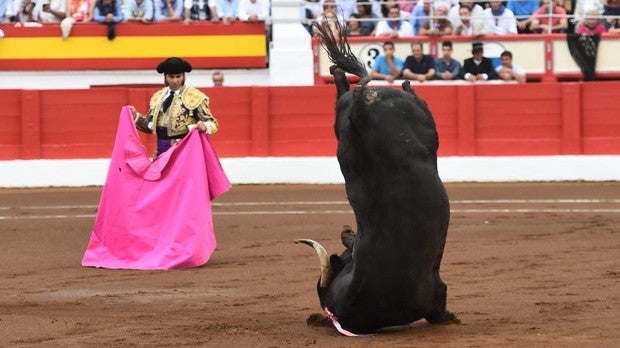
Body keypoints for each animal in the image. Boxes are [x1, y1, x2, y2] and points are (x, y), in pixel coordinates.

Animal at [296, 20, 460, 336]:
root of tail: (363, 108)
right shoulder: (436, 298)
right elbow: (440, 309)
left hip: (345, 122)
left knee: (346, 88)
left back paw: (340, 73)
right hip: (420, 119)